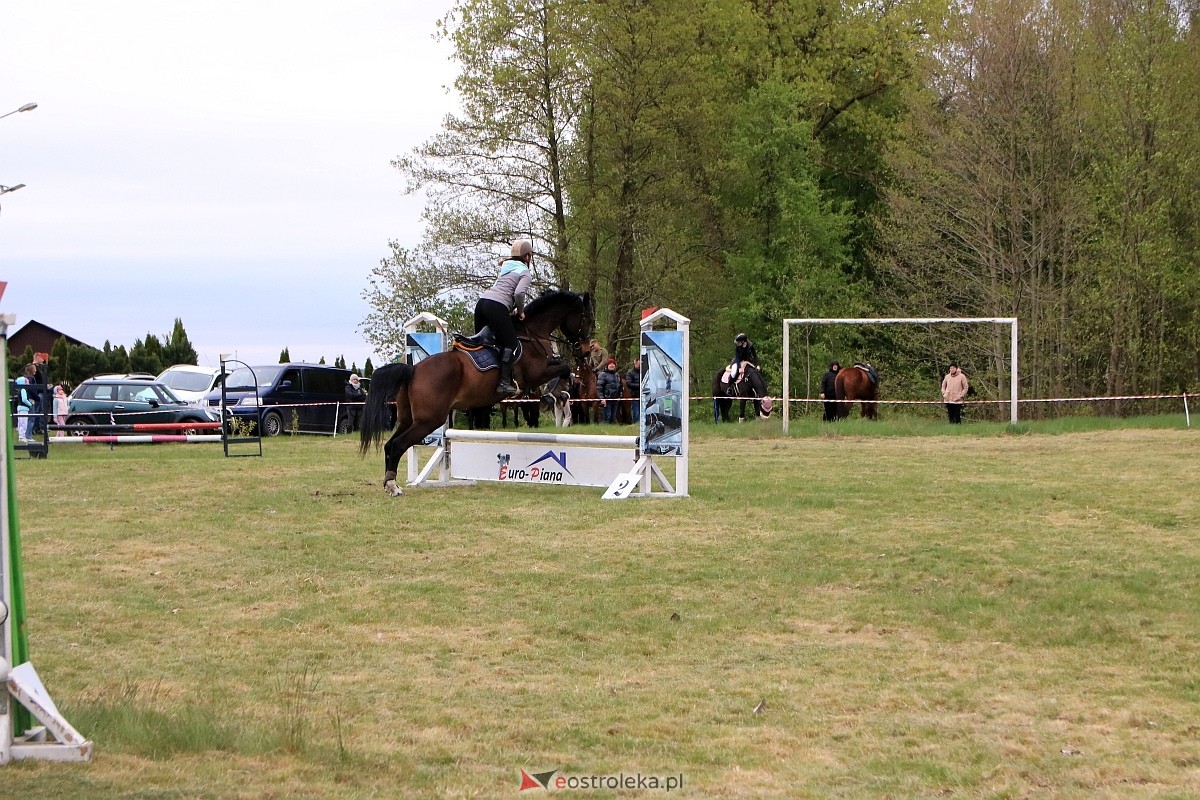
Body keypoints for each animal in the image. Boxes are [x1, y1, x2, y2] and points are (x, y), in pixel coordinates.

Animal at [360, 291, 595, 496]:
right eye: (587, 319)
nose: (584, 351)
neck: (532, 334)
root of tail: (414, 369)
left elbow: (563, 367)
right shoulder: (537, 373)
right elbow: (563, 368)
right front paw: (554, 392)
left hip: (409, 418)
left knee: (390, 444)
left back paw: (389, 482)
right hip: (429, 420)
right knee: (398, 444)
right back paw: (393, 486)